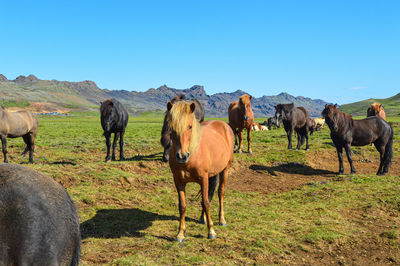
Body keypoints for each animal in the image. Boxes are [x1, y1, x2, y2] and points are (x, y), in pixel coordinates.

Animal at [166, 101, 234, 242]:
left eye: (190, 126)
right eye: (171, 128)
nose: (182, 156)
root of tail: (224, 125)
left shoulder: (203, 179)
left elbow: (206, 203)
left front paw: (211, 231)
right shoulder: (178, 181)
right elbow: (182, 206)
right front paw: (180, 233)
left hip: (225, 169)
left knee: (220, 192)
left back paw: (222, 220)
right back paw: (203, 219)